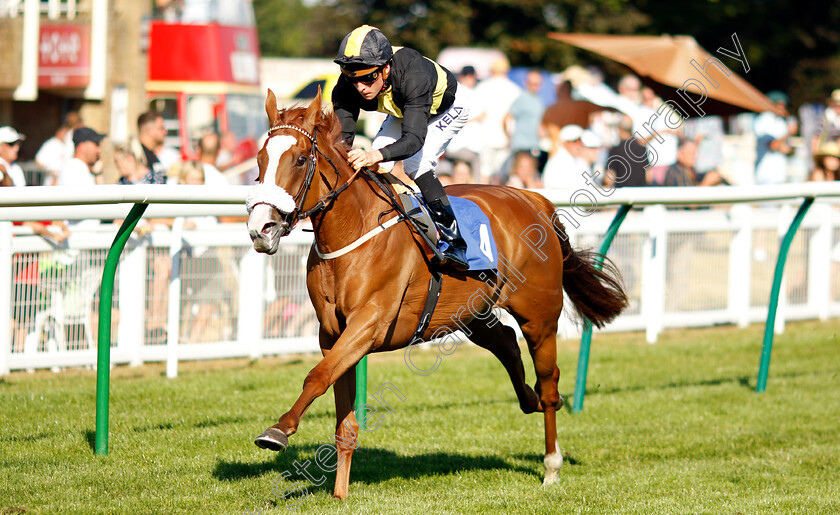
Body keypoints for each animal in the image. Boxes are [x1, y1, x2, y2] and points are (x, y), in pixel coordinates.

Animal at [246, 88, 628, 500]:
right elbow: (340, 409)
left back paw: (551, 464)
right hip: (471, 312)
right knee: (506, 343)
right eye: (260, 159)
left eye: (300, 159)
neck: (353, 230)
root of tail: (533, 199)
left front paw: (278, 431)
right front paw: (340, 493)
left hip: (539, 317)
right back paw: (527, 399)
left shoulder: (370, 324)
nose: (261, 228)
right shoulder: (332, 333)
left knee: (549, 381)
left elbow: (316, 377)